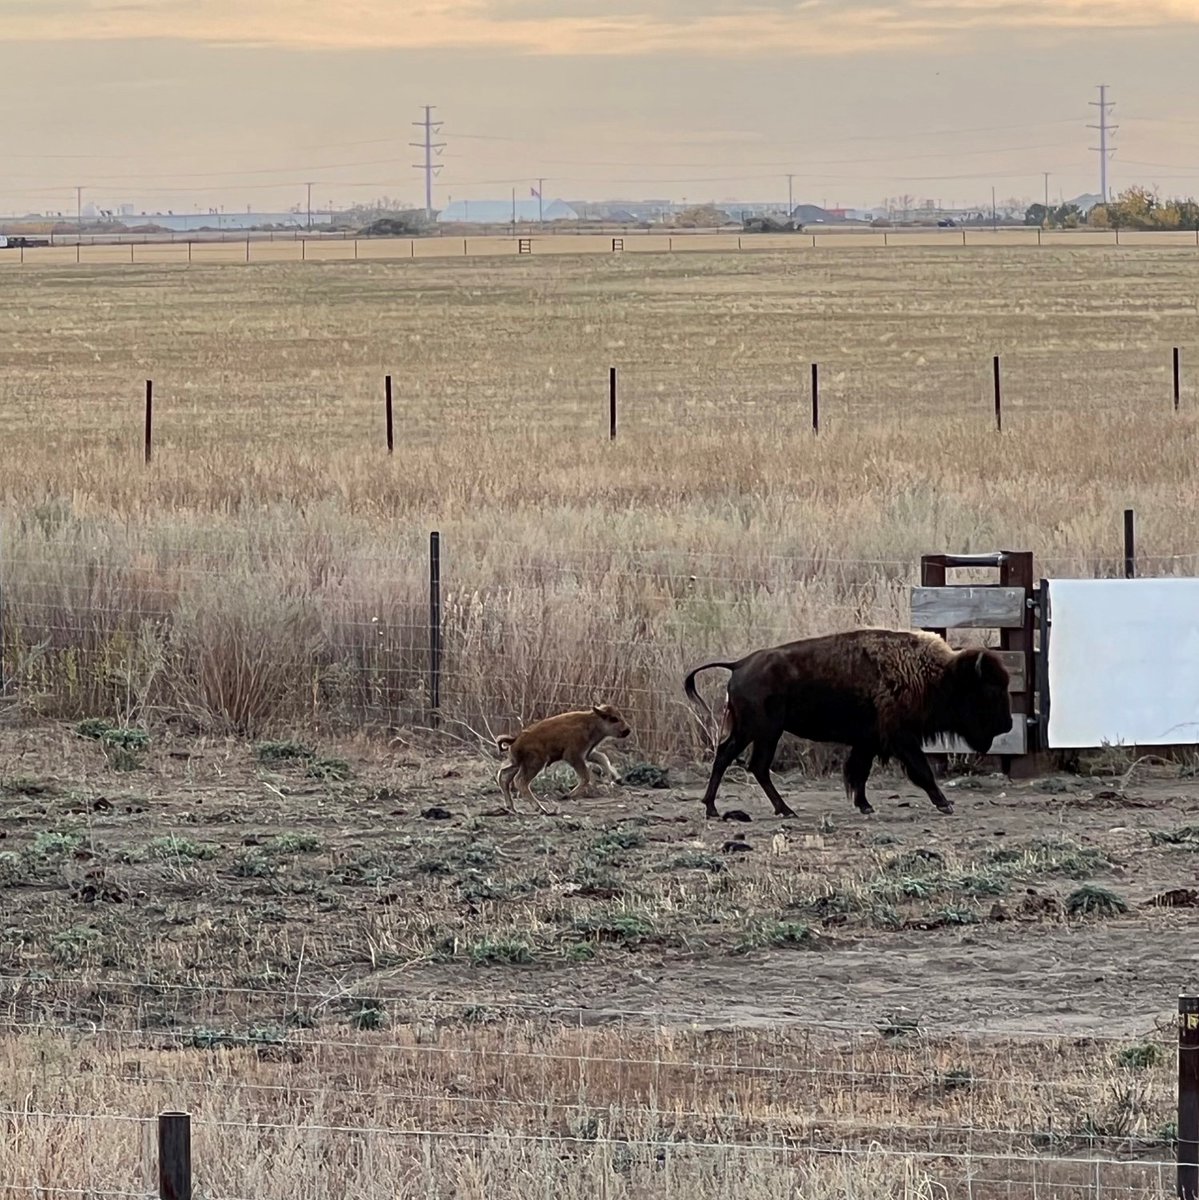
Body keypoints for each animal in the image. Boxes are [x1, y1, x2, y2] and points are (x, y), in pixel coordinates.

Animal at [683, 628, 1013, 820]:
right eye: (989, 690)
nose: (1008, 725)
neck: (937, 675)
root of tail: (739, 664)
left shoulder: (869, 741)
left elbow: (859, 772)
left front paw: (865, 805)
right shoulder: (900, 738)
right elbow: (922, 771)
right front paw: (944, 803)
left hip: (749, 731)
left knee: (728, 757)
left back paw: (714, 808)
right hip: (765, 732)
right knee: (756, 765)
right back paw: (784, 810)